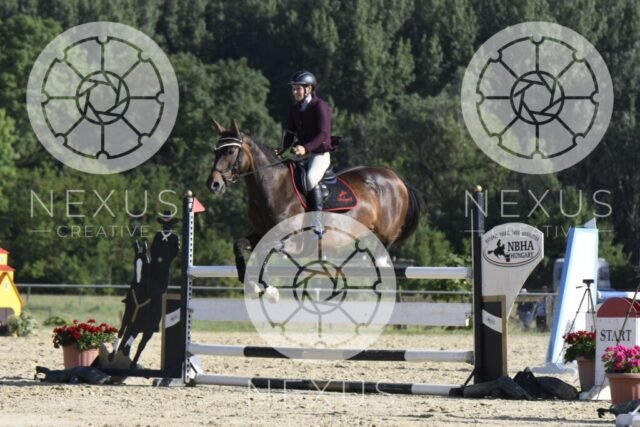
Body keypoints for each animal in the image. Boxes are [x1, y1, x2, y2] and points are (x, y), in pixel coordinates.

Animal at [206, 119, 423, 300]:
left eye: (230, 152)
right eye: (215, 151)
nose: (213, 184)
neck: (272, 186)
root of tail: (396, 177)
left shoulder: (293, 241)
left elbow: (264, 253)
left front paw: (268, 289)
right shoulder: (261, 233)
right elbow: (240, 245)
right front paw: (252, 284)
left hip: (387, 228)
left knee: (387, 241)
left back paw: (381, 260)